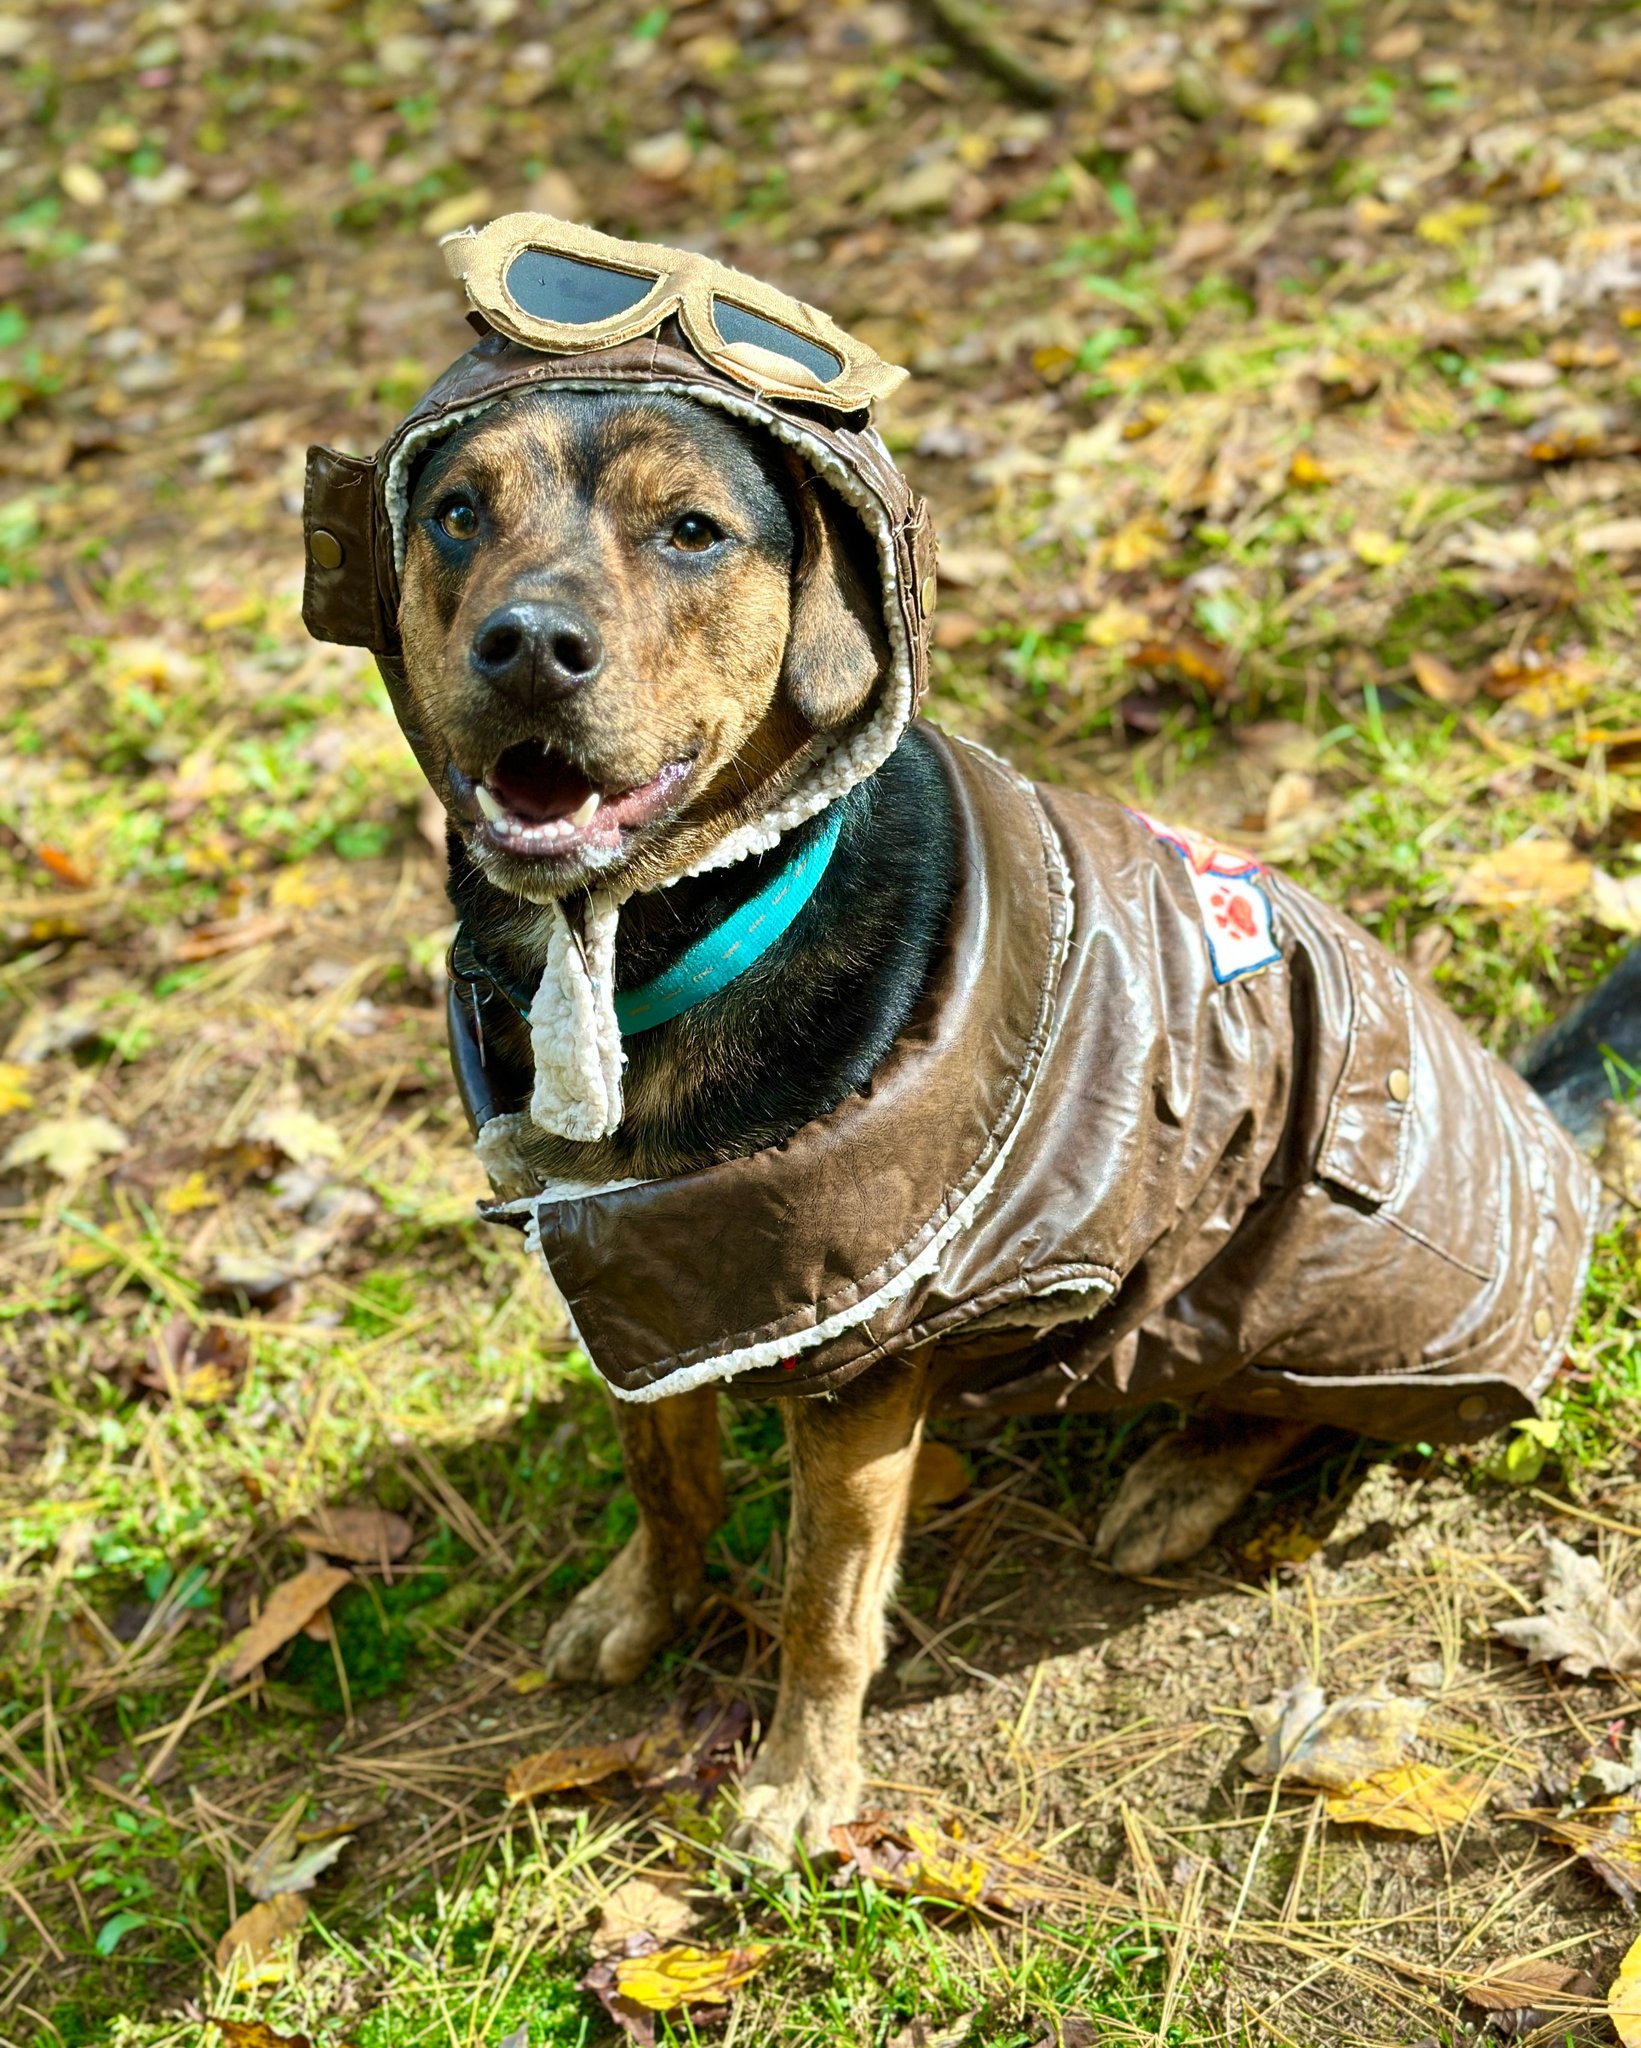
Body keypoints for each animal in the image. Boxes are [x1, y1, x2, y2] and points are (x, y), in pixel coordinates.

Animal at [393, 387, 1302, 1875]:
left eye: (692, 531)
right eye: (457, 513)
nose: (525, 644)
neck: (638, 953)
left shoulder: (858, 1361)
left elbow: (823, 1597)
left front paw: (799, 1782)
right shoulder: (641, 1293)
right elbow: (667, 1482)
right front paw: (641, 1608)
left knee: (1273, 1399)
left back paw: (1179, 1480)